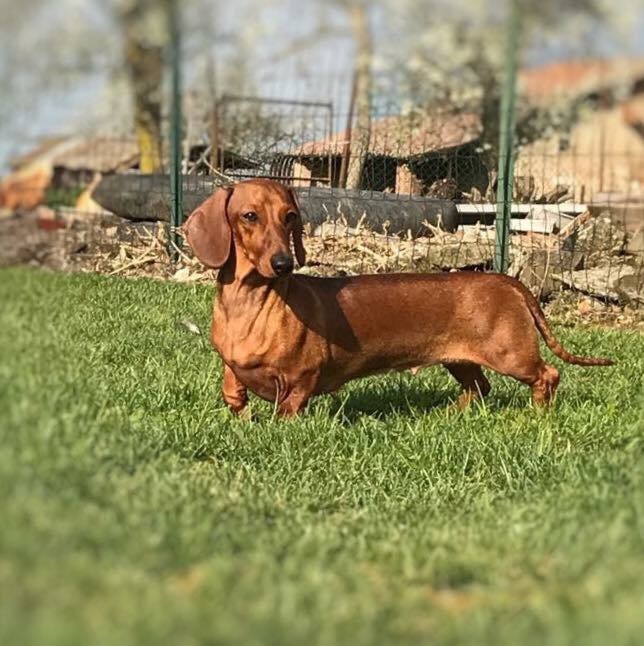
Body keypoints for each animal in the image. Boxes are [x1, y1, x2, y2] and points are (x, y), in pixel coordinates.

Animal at [184, 179, 612, 417]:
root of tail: (506, 280)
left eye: (289, 216)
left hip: (511, 355)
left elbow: (287, 408)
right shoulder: (232, 366)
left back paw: (537, 415)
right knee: (479, 388)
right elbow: (233, 393)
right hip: (460, 361)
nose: (284, 263)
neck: (251, 302)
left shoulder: (301, 378)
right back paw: (448, 415)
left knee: (547, 375)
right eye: (249, 216)